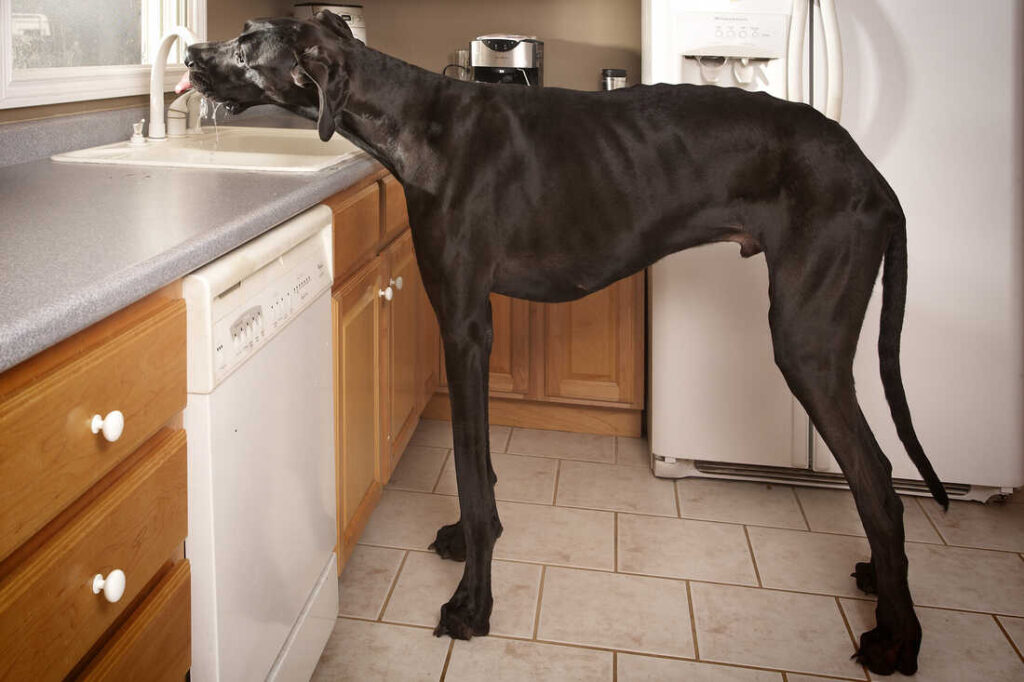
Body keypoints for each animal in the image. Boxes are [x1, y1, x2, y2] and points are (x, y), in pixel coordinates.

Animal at [180, 11, 946, 675]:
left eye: (246, 42)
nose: (188, 55)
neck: (417, 122)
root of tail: (870, 170)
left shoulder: (464, 324)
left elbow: (468, 467)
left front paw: (473, 604)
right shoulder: (472, 326)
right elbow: (481, 466)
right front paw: (472, 543)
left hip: (806, 343)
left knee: (880, 485)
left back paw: (899, 638)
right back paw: (880, 585)